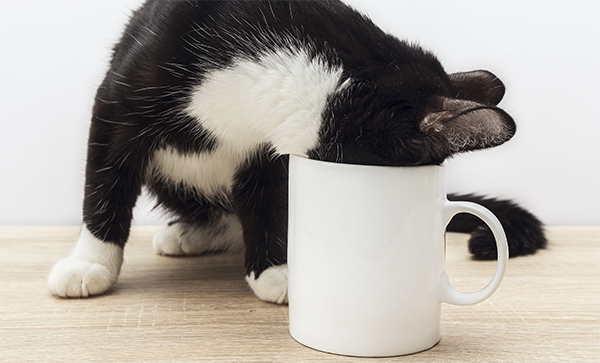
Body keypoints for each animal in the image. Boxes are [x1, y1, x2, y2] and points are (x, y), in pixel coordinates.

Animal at [48, 0, 544, 304]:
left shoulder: (267, 150)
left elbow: (268, 199)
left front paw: (274, 270)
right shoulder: (120, 99)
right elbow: (105, 182)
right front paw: (90, 263)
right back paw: (190, 233)